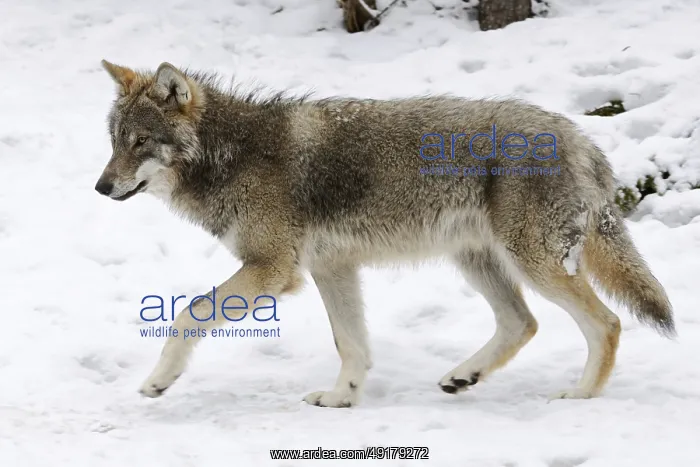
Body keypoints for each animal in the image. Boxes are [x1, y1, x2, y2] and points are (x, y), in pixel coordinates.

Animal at [95, 60, 674, 407]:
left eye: (141, 141)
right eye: (114, 140)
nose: (101, 187)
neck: (232, 154)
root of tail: (580, 137)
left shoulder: (274, 268)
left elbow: (188, 315)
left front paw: (159, 380)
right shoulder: (332, 268)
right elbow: (351, 344)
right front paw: (341, 399)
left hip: (533, 263)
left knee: (607, 323)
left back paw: (581, 396)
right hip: (478, 261)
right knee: (522, 324)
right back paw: (463, 377)